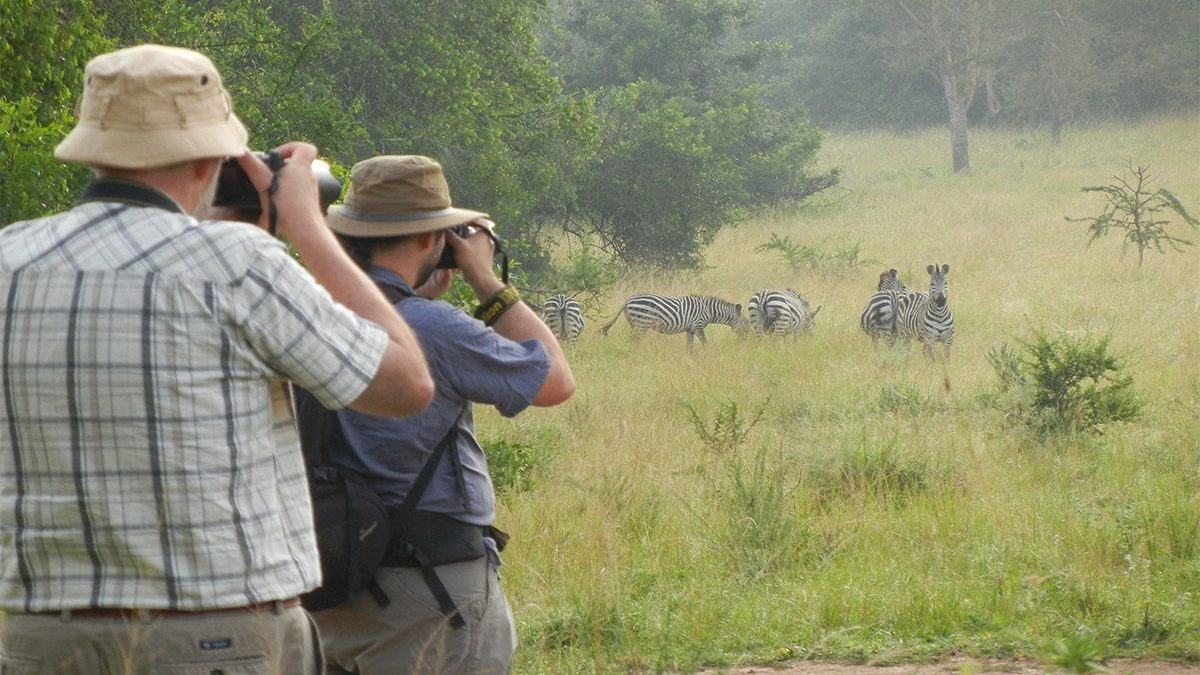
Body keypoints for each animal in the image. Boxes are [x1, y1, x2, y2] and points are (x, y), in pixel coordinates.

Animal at [600, 293, 748, 345]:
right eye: (746, 323)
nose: (747, 340)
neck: (709, 311)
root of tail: (628, 299)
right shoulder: (698, 325)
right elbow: (705, 343)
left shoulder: (690, 329)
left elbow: (689, 346)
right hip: (642, 324)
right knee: (634, 341)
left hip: (634, 323)